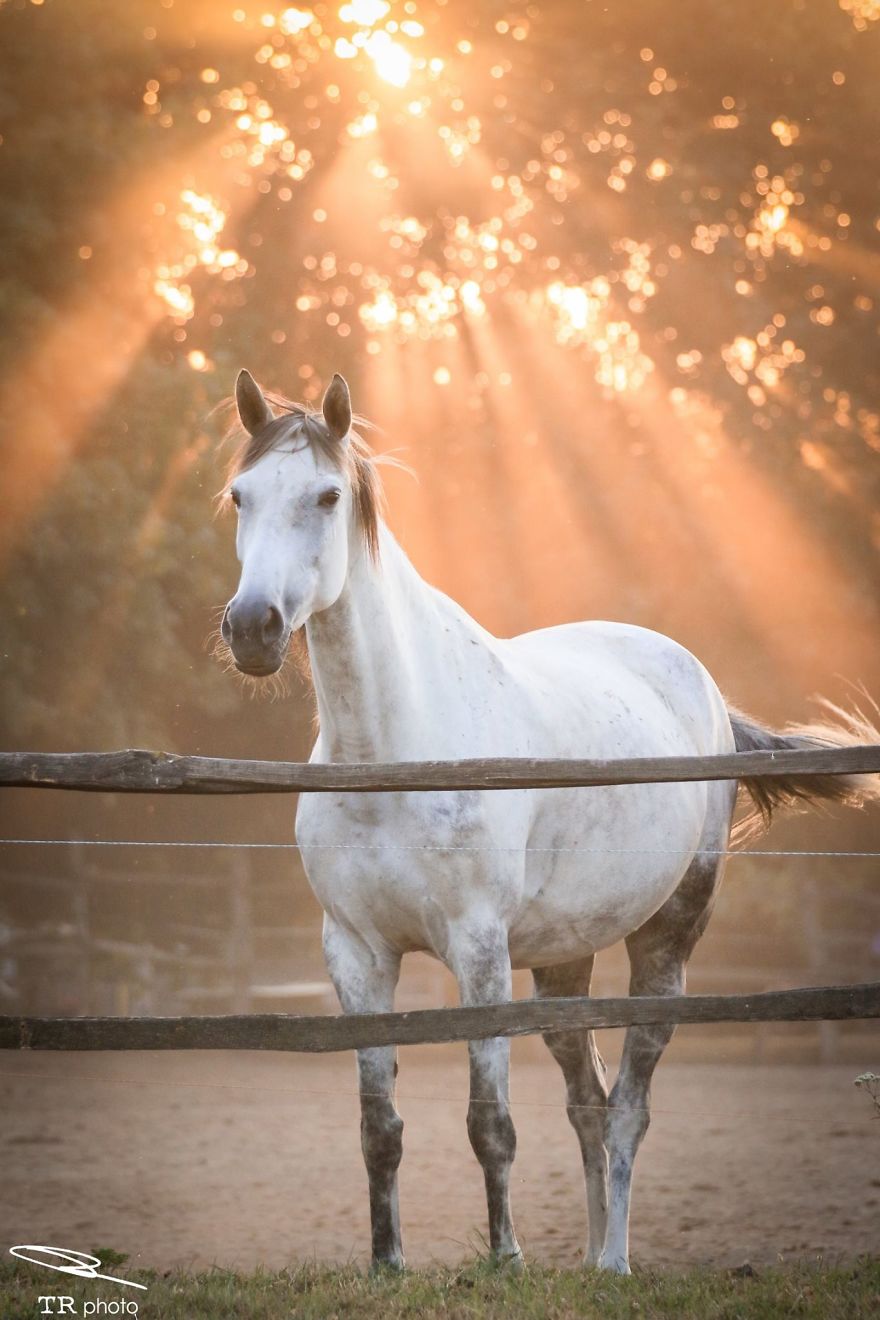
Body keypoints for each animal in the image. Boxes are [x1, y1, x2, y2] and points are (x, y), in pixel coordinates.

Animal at [217, 367, 878, 1274]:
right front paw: (388, 1265)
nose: (252, 629)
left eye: (326, 496)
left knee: (628, 1108)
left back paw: (615, 1264)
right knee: (588, 1106)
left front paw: (506, 1261)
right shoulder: (357, 953)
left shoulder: (479, 952)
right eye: (239, 496)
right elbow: (379, 1128)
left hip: (666, 945)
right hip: (564, 965)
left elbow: (490, 1125)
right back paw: (594, 1263)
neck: (394, 754)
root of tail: (702, 687)